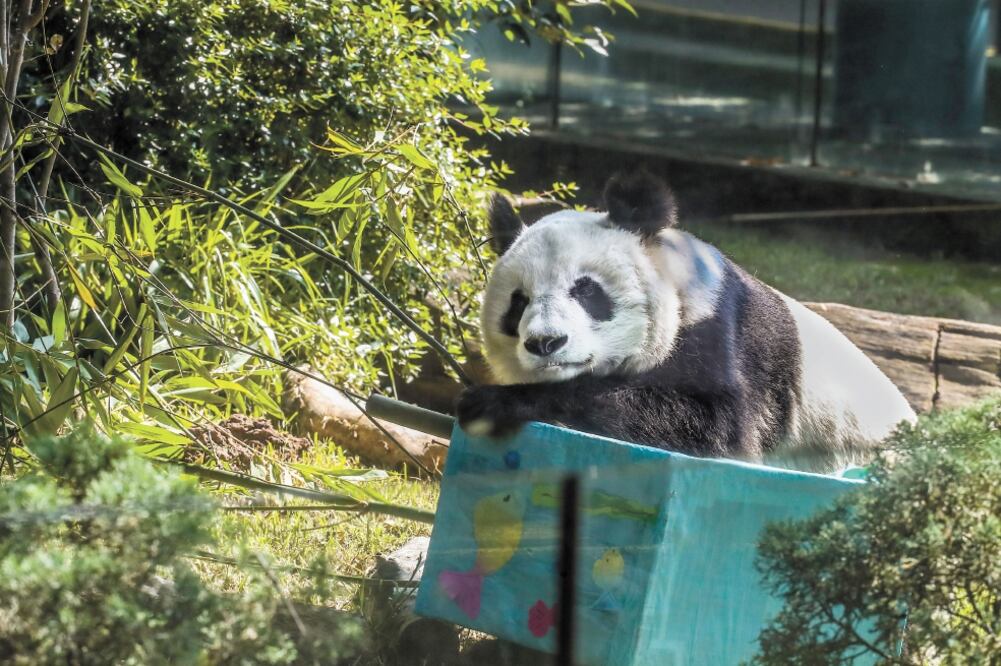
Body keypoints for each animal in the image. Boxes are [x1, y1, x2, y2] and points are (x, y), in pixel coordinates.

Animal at [456, 170, 917, 473]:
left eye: (586, 290)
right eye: (518, 303)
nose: (545, 343)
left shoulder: (719, 332)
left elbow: (715, 427)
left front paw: (494, 402)